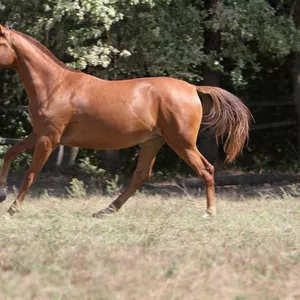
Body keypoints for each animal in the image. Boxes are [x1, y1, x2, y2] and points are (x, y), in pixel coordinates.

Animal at [0, 24, 251, 216]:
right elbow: (10, 153)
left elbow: (30, 174)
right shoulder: (39, 134)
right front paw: (2, 193)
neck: (55, 85)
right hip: (154, 141)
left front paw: (12, 209)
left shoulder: (48, 139)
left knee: (206, 169)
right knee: (141, 175)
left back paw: (209, 212)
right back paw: (106, 210)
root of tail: (193, 89)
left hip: (181, 142)